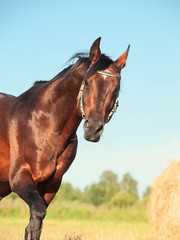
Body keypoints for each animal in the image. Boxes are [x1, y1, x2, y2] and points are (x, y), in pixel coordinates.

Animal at [0, 38, 129, 240]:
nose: (93, 129)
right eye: (88, 82)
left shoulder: (51, 185)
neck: (45, 124)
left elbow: (34, 225)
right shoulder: (19, 178)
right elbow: (37, 215)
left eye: (116, 88)